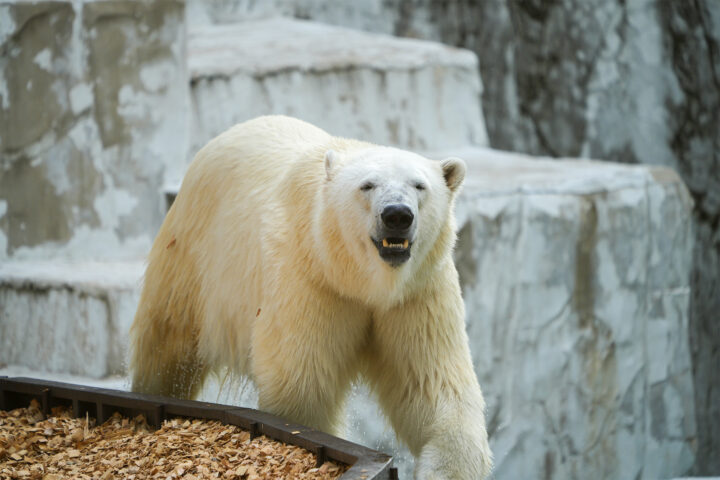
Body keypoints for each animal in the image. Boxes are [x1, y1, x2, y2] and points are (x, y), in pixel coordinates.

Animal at [129, 115, 492, 476]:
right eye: (367, 185)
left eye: (419, 186)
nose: (397, 215)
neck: (360, 279)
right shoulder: (311, 280)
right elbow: (302, 390)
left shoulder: (417, 293)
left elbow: (434, 389)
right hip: (192, 255)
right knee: (167, 347)